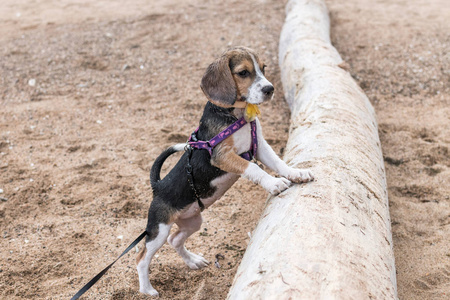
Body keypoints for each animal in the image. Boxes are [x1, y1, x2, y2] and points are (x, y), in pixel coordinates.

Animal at [136, 46, 312, 296]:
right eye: (243, 72)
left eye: (264, 68)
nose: (269, 89)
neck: (235, 115)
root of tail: (157, 186)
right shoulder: (223, 156)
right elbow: (254, 168)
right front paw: (274, 183)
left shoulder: (260, 146)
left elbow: (278, 163)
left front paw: (296, 173)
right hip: (158, 229)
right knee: (142, 257)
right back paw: (147, 289)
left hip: (192, 221)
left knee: (176, 240)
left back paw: (193, 261)